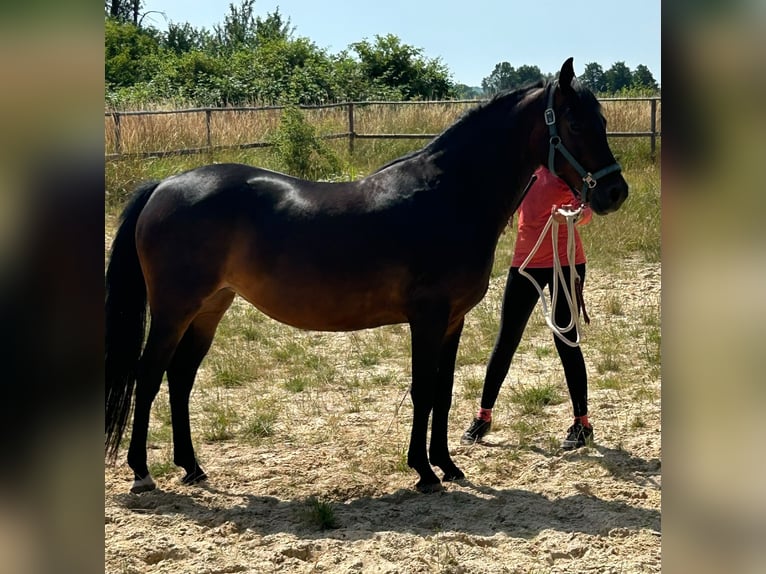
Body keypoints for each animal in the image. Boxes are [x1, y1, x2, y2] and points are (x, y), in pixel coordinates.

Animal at [105, 58, 628, 494]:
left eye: (603, 122)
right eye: (575, 123)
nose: (615, 193)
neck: (452, 194)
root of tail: (164, 185)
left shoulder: (452, 320)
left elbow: (442, 392)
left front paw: (448, 465)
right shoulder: (427, 318)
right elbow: (422, 390)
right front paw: (423, 471)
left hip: (211, 307)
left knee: (180, 378)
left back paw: (192, 467)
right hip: (174, 310)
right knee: (149, 377)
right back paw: (142, 473)